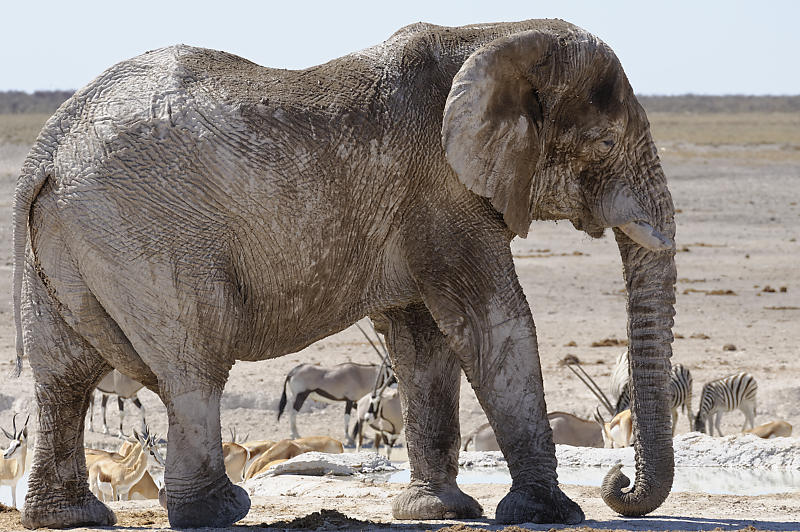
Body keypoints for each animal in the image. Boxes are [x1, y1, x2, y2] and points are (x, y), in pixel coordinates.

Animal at [12, 16, 676, 528]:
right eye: (605, 143)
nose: (619, 482)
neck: (495, 36)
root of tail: (49, 150)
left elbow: (423, 343)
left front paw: (436, 511)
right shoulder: (443, 194)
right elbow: (495, 326)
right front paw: (552, 514)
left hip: (72, 242)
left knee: (63, 375)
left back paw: (72, 518)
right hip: (148, 234)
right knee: (192, 365)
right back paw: (219, 511)